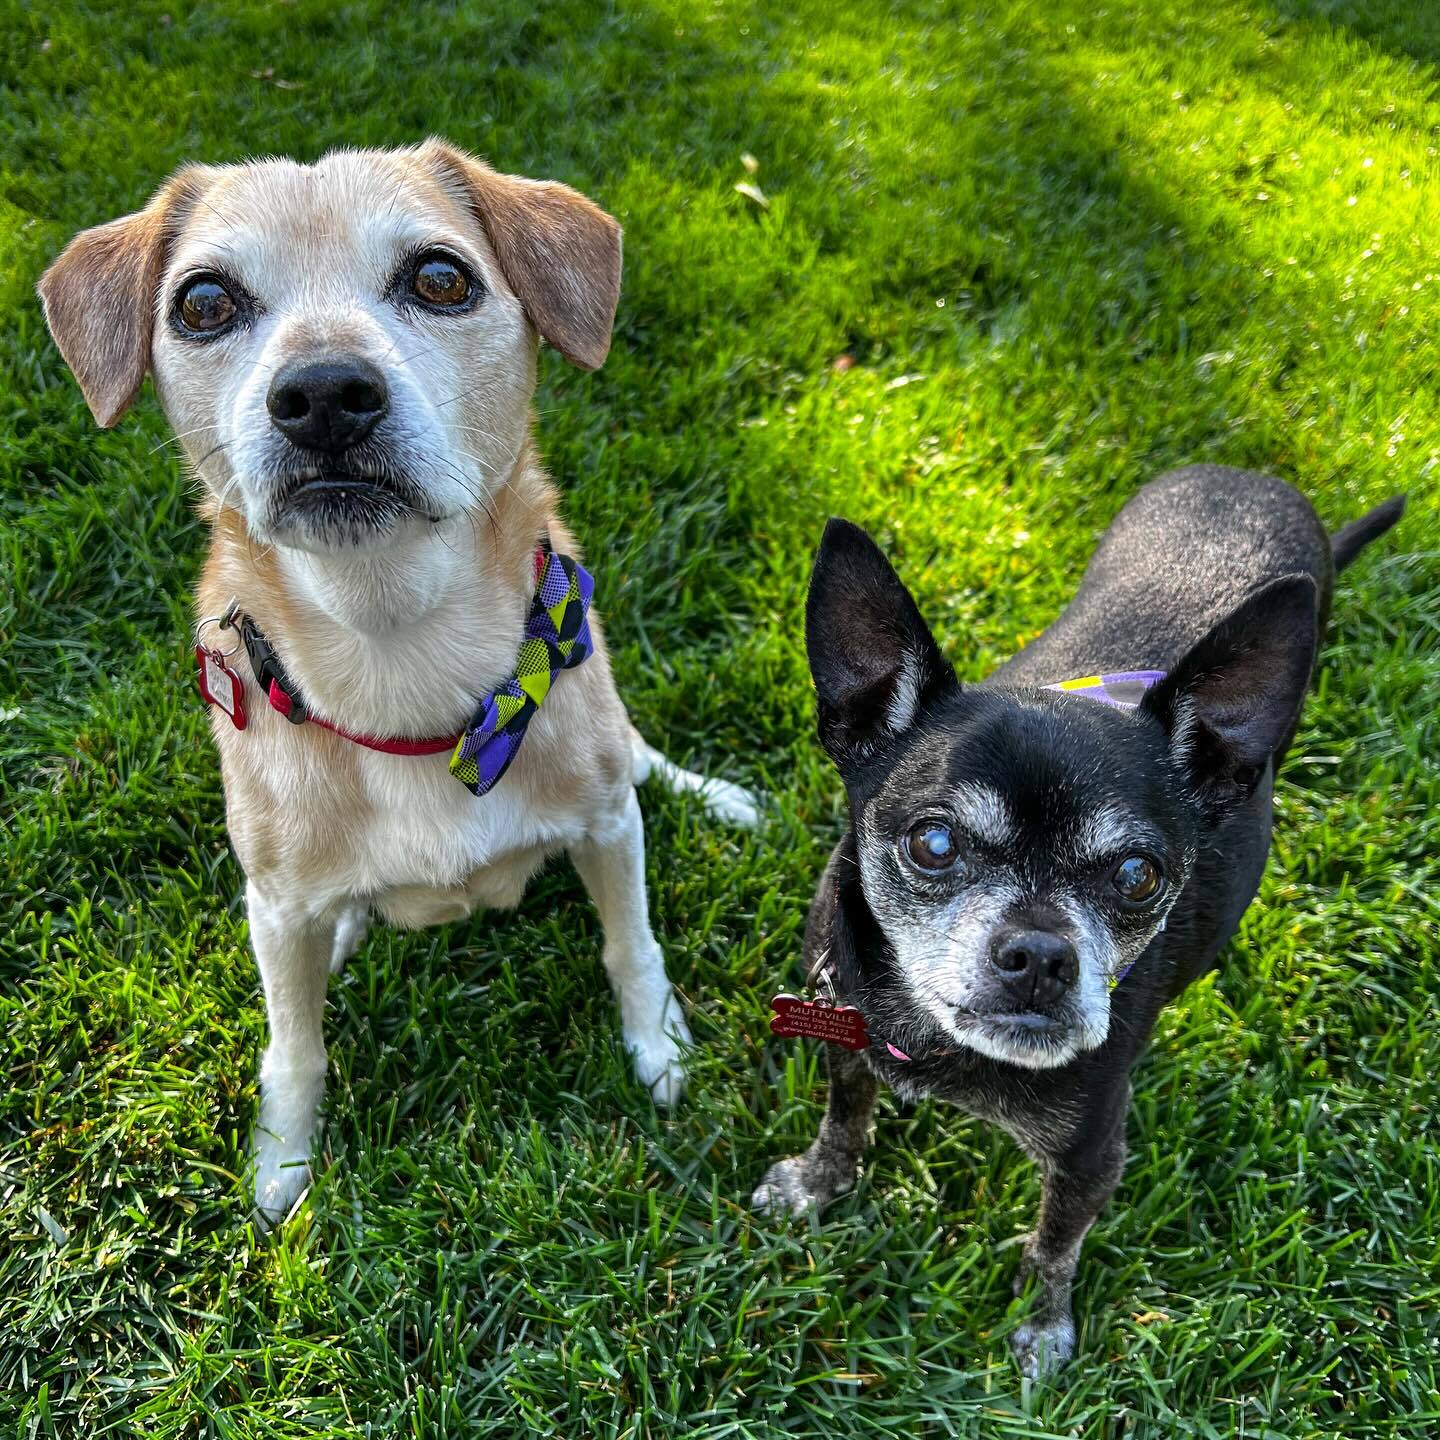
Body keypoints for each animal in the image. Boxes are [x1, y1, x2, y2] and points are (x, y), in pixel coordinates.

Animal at [39, 137, 760, 1215]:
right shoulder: (276, 903)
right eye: (204, 301)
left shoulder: (605, 826)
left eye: (440, 278)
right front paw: (283, 1162)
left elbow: (630, 943)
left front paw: (659, 1045)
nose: (323, 395)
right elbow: (294, 1047)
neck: (396, 655)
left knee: (643, 759)